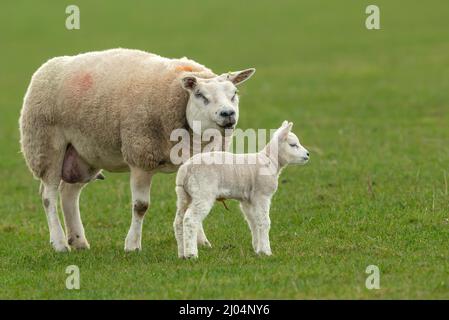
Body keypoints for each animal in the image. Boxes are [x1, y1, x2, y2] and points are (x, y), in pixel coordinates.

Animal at [18, 48, 256, 252]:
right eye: (200, 94)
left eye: (234, 93)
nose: (228, 114)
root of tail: (47, 66)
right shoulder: (141, 156)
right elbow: (141, 206)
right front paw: (132, 245)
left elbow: (191, 202)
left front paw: (200, 241)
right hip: (46, 146)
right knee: (48, 196)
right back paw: (59, 243)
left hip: (83, 154)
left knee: (68, 193)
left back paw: (78, 241)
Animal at [173, 121, 310, 258]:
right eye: (293, 145)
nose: (308, 154)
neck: (270, 161)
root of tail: (186, 168)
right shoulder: (262, 195)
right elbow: (264, 221)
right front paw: (266, 251)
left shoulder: (247, 200)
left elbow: (254, 222)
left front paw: (257, 249)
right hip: (203, 192)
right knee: (190, 220)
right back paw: (191, 254)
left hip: (183, 194)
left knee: (179, 221)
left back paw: (182, 254)